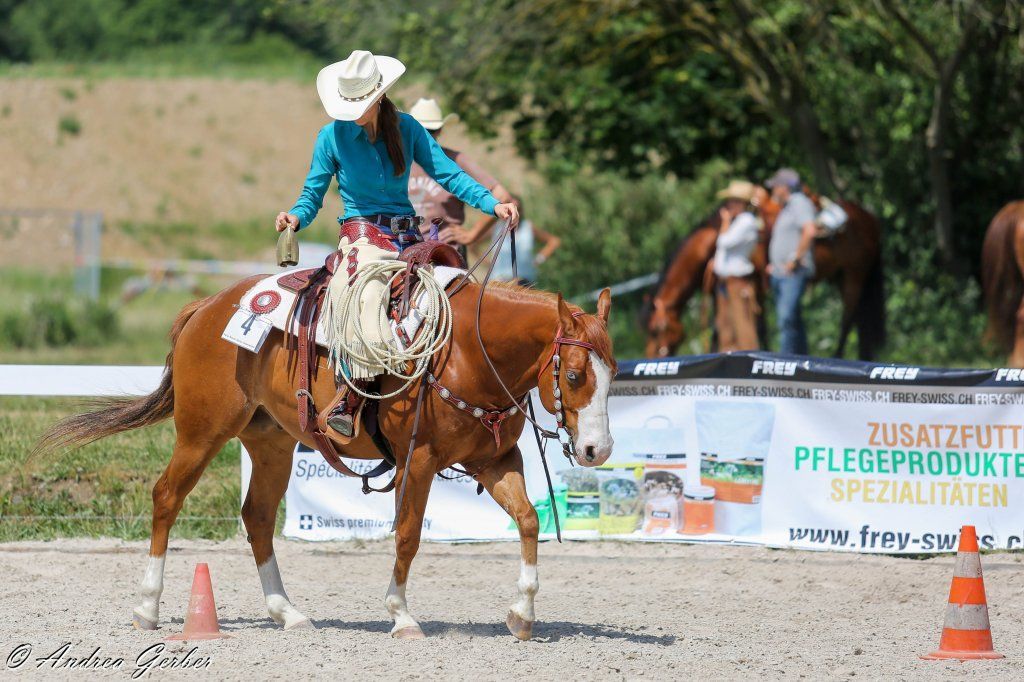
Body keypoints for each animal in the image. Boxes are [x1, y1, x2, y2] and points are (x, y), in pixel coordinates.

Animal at [36, 274, 616, 641]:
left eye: (613, 373)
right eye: (572, 375)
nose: (597, 450)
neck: (468, 354)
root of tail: (207, 307)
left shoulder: (496, 461)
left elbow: (528, 521)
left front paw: (522, 613)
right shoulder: (420, 461)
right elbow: (408, 536)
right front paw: (401, 616)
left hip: (270, 444)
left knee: (258, 516)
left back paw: (286, 612)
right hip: (201, 434)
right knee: (166, 498)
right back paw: (148, 607)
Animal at [643, 189, 885, 360]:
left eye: (656, 331)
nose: (652, 357)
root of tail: (870, 217)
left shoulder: (753, 286)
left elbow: (758, 328)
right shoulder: (721, 290)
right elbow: (720, 329)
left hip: (855, 275)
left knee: (847, 319)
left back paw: (839, 355)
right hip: (841, 276)